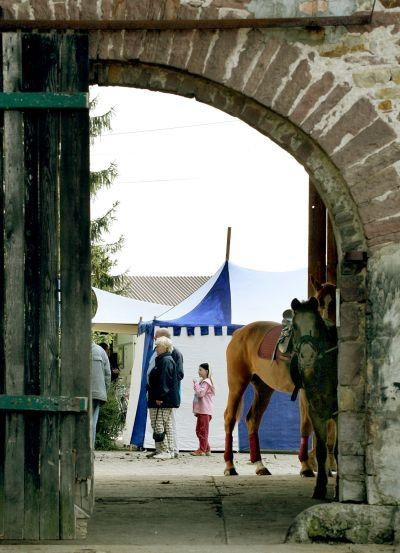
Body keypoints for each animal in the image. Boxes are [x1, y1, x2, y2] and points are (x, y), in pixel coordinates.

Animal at [223, 322, 314, 476]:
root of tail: (239, 332)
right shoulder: (305, 392)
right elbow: (306, 425)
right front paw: (306, 467)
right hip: (237, 384)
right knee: (230, 418)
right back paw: (230, 466)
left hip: (263, 390)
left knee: (253, 419)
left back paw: (260, 465)